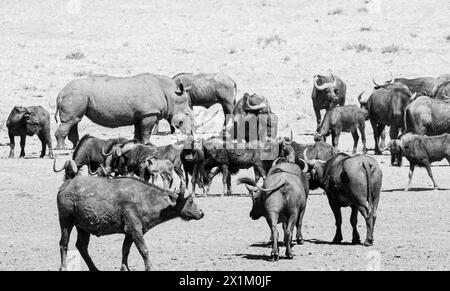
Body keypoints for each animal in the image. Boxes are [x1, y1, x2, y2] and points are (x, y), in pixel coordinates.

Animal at [53, 74, 193, 149]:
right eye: (187, 114)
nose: (190, 134)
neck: (171, 93)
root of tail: (60, 93)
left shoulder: (141, 114)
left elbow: (138, 130)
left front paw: (138, 144)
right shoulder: (149, 113)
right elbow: (146, 131)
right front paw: (150, 145)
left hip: (76, 95)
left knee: (75, 121)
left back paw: (76, 146)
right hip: (75, 95)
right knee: (70, 121)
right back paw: (62, 148)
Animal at [57, 178, 203, 272]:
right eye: (190, 201)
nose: (201, 213)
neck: (145, 199)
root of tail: (65, 185)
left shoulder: (130, 232)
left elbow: (125, 250)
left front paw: (124, 268)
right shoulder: (135, 229)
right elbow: (143, 250)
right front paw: (150, 267)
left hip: (83, 227)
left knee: (81, 246)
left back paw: (95, 269)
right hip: (66, 221)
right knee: (64, 243)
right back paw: (63, 267)